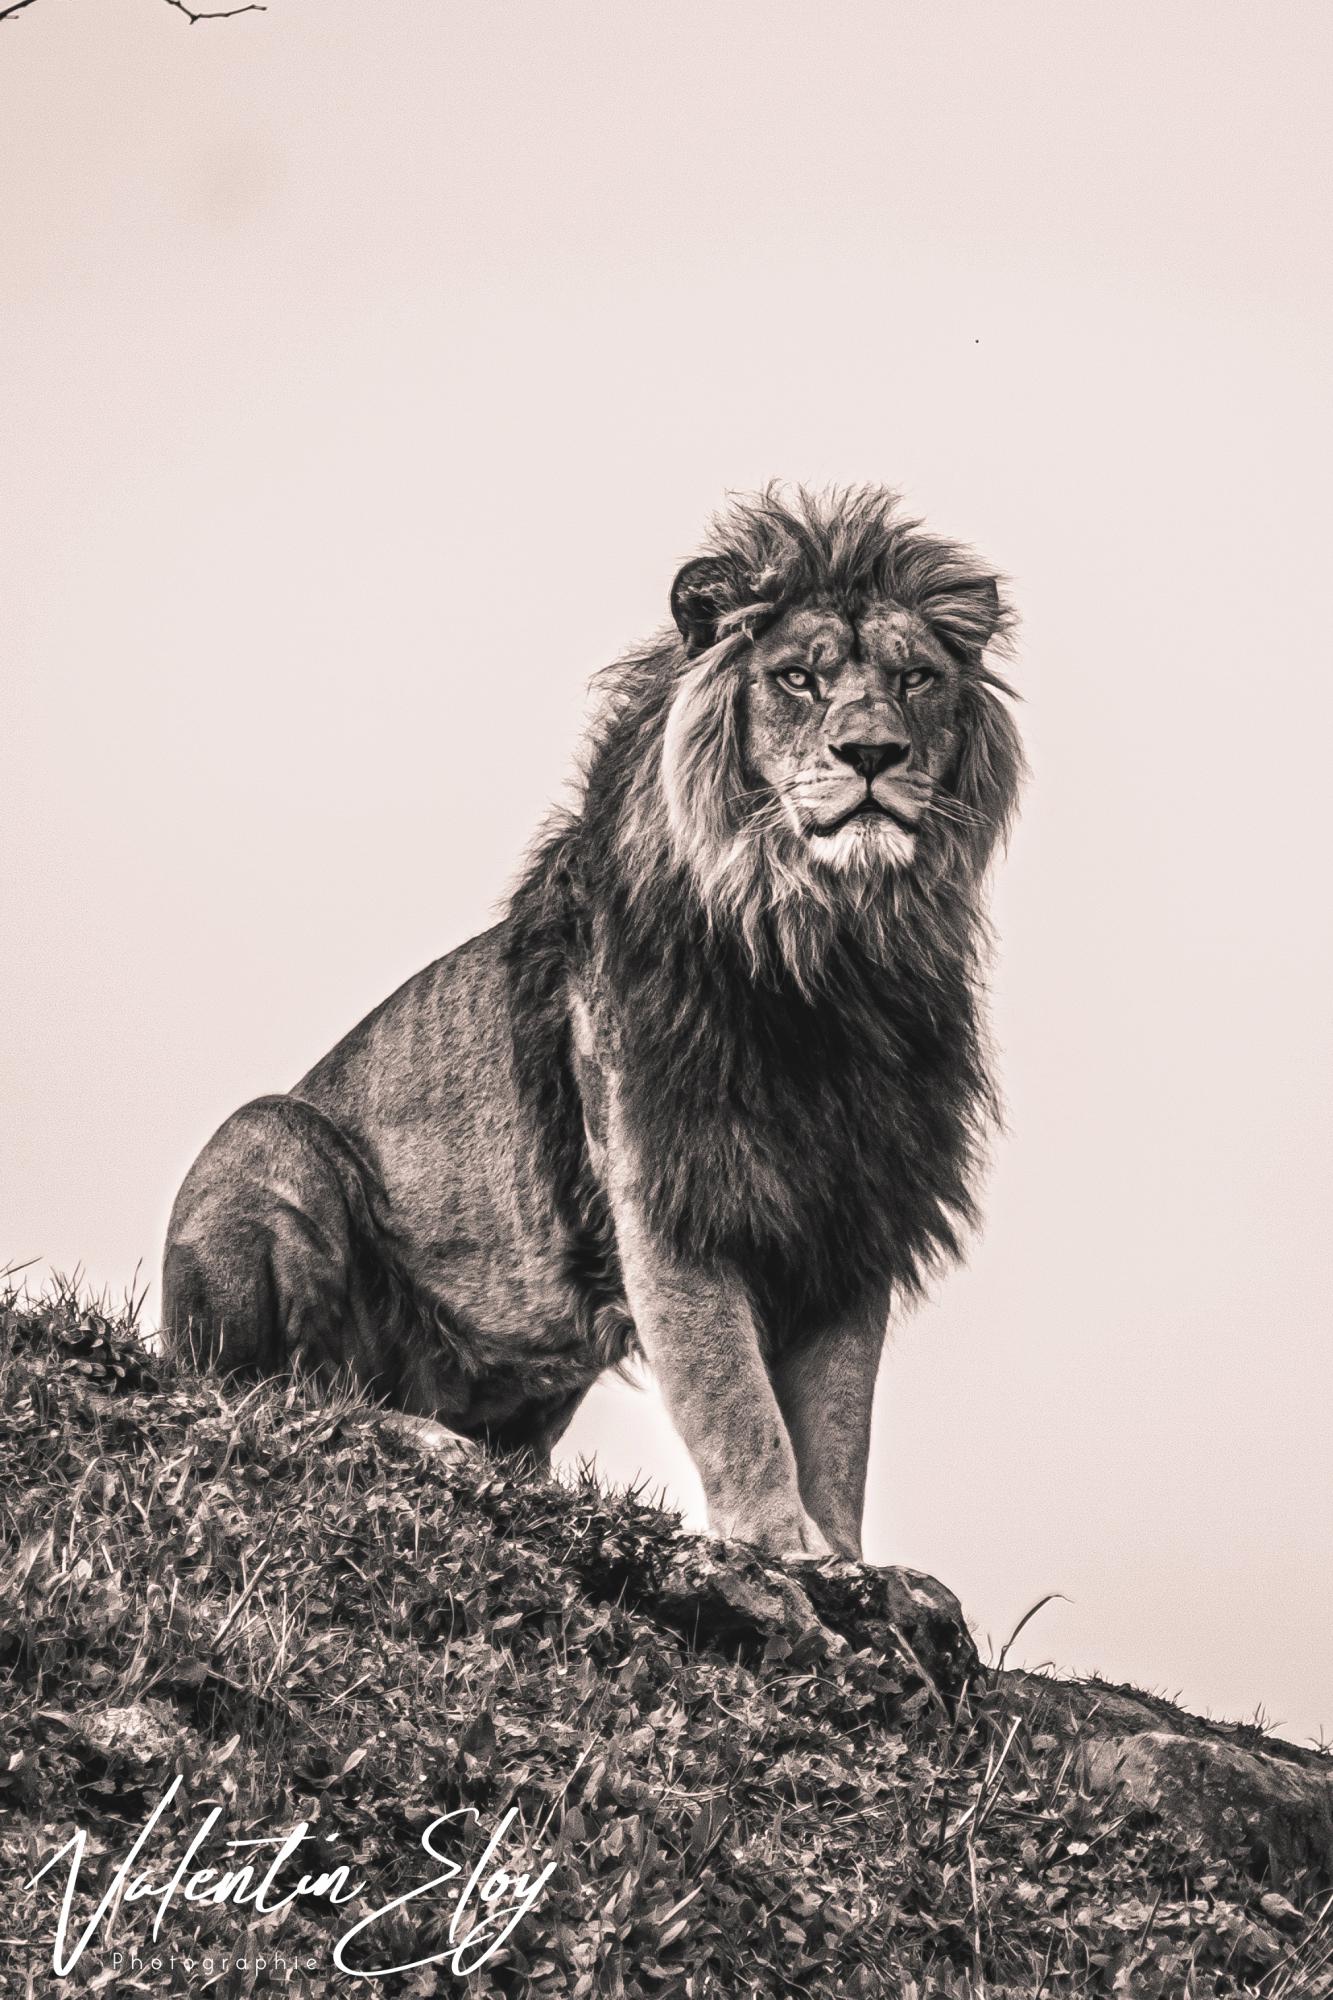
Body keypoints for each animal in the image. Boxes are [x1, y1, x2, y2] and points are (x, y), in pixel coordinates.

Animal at [163, 485, 1023, 1561]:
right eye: (797, 678)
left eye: (915, 678)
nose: (872, 754)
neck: (826, 948)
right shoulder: (666, 1191)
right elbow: (734, 1399)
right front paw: (777, 1544)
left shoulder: (853, 1211)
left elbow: (836, 1422)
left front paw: (844, 1559)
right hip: (269, 1136)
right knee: (279, 1392)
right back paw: (418, 1436)